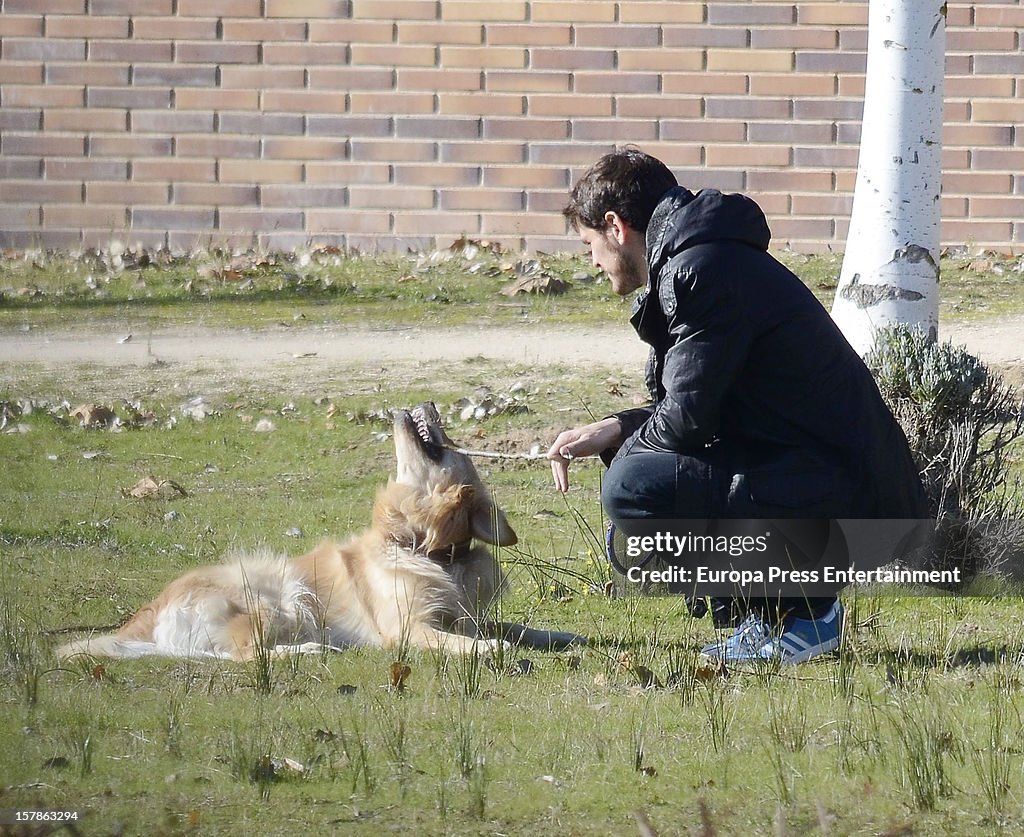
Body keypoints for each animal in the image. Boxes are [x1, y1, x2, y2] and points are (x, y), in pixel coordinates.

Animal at [58, 401, 585, 663]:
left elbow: (518, 627)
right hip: (279, 597)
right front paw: (491, 649)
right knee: (241, 655)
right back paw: (308, 649)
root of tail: (142, 618)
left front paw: (560, 634)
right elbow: (467, 641)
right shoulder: (408, 628)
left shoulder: (465, 615)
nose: (429, 401)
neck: (428, 550)